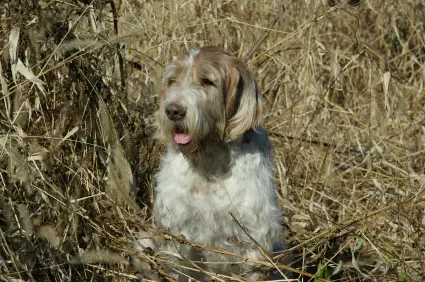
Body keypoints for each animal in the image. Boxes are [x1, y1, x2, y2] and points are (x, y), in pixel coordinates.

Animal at [132, 45, 284, 280]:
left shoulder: (254, 238)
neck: (209, 161)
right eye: (173, 80)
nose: (173, 111)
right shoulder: (177, 230)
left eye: (207, 81)